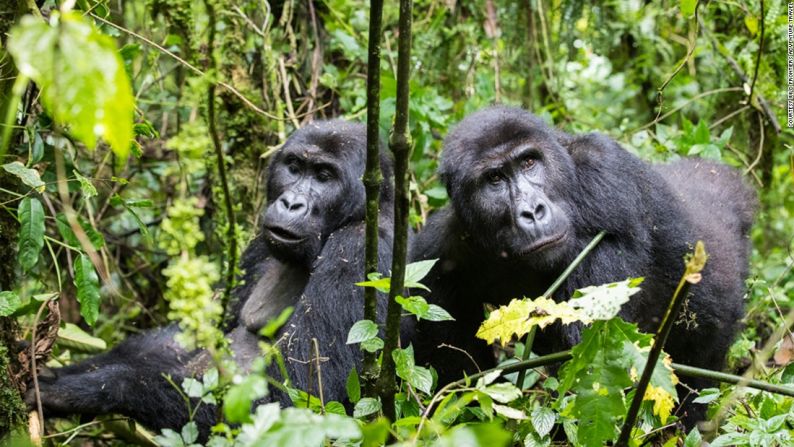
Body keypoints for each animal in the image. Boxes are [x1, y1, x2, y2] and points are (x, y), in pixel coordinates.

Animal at [31, 121, 396, 436]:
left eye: (323, 176)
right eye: (293, 166)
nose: (291, 203)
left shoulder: (360, 250)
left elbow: (295, 398)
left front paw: (94, 388)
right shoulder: (259, 246)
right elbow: (190, 338)